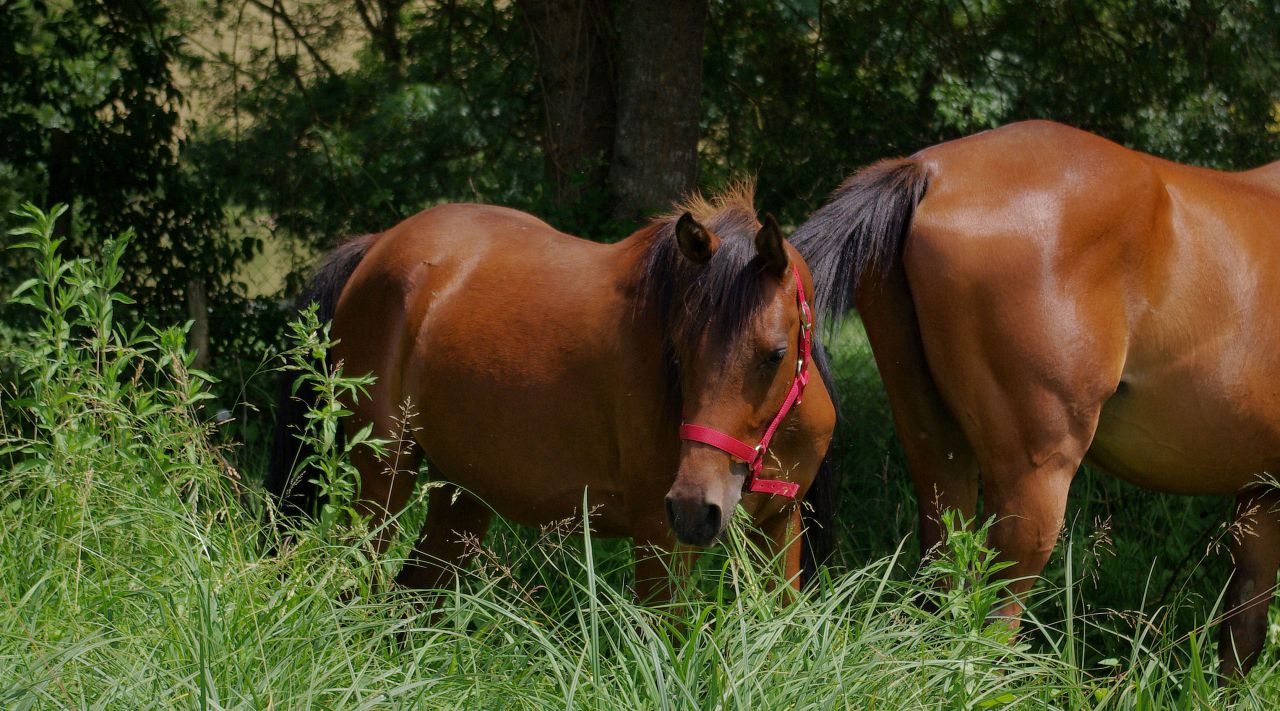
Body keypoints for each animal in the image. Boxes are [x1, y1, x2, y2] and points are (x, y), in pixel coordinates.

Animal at [268, 185, 838, 603]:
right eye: (678, 350)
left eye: (775, 353)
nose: (696, 508)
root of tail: (377, 245)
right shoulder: (660, 538)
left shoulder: (780, 525)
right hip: (383, 480)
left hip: (462, 496)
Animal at [793, 119, 1280, 678]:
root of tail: (930, 170)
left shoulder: (1261, 494)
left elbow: (1243, 634)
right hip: (1034, 485)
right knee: (992, 626)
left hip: (935, 448)